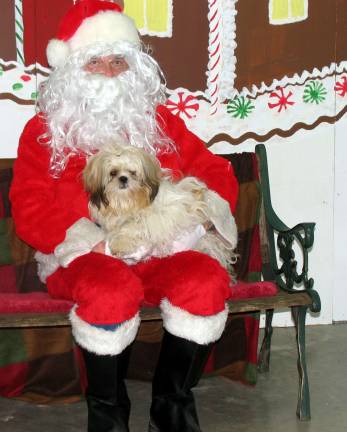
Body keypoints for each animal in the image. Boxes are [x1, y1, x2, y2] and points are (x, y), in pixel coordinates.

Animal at [83, 143, 238, 270]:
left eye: (133, 173)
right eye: (113, 172)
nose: (123, 178)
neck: (129, 202)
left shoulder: (165, 213)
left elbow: (135, 225)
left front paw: (120, 243)